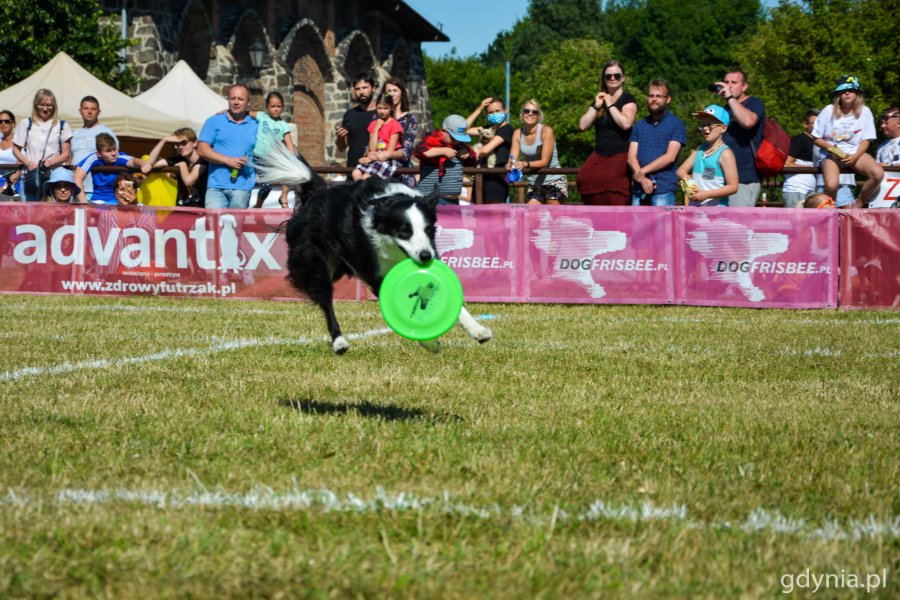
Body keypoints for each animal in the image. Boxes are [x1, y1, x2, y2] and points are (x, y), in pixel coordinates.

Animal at [253, 143, 492, 354]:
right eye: (404, 231)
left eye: (428, 229)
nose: (425, 256)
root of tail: (317, 192)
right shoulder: (376, 274)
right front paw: (429, 342)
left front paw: (477, 330)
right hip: (315, 263)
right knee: (326, 302)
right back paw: (339, 342)